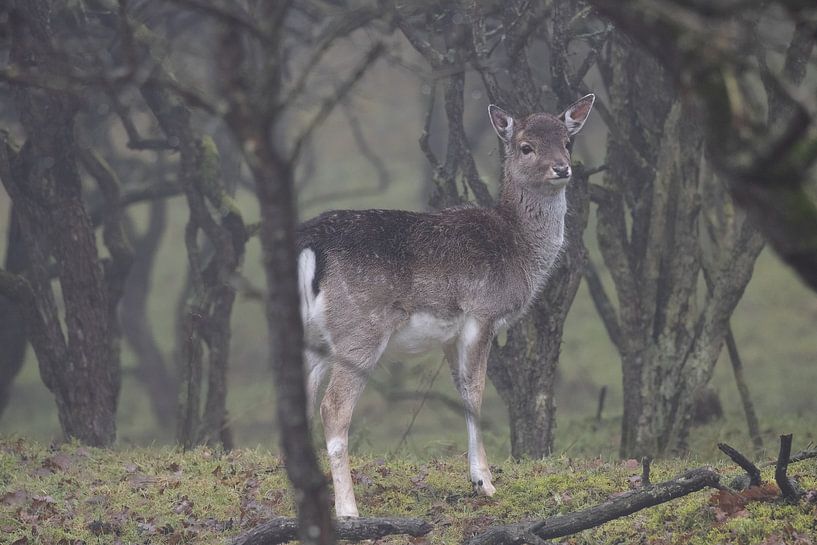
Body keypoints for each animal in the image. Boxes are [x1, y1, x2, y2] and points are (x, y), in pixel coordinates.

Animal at [296, 94, 595, 517]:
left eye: (568, 142)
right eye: (526, 147)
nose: (562, 168)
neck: (518, 249)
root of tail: (309, 245)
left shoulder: (451, 334)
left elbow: (462, 390)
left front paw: (476, 478)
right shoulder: (483, 313)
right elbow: (476, 391)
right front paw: (485, 482)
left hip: (315, 335)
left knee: (302, 400)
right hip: (360, 328)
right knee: (333, 407)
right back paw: (348, 509)